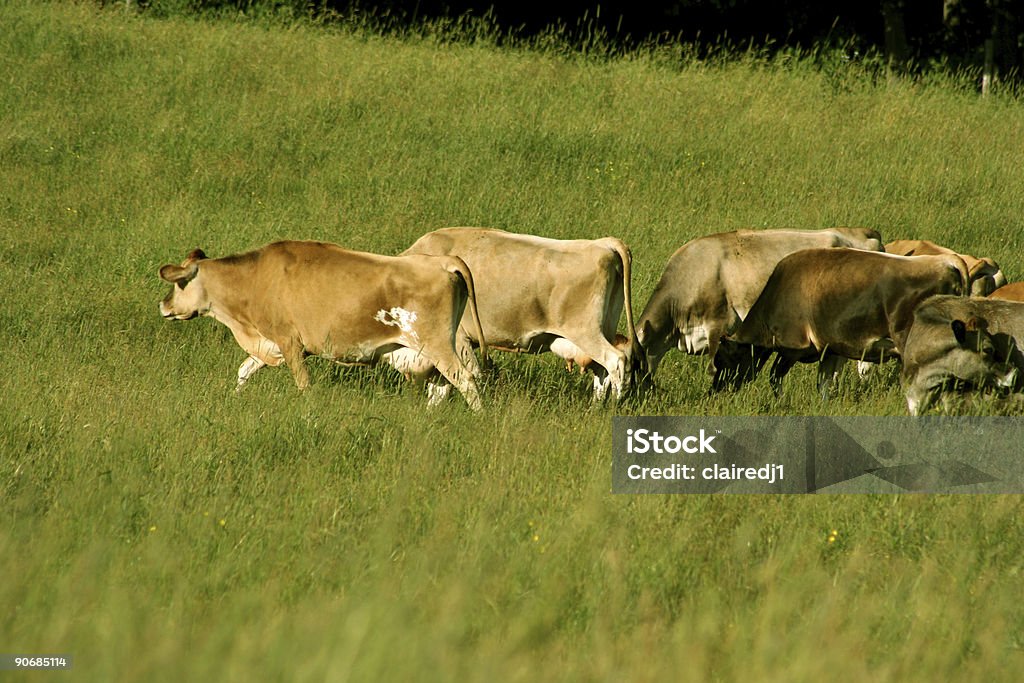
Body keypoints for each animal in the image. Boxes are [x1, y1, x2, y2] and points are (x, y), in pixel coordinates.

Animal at [157, 241, 489, 409]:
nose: (164, 305)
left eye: (179, 283)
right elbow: (244, 370)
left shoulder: (290, 342)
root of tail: (442, 261)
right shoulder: (268, 344)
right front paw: (235, 398)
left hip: (437, 344)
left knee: (465, 380)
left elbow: (304, 385)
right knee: (443, 387)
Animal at [399, 229, 638, 401]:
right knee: (603, 372)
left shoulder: (456, 339)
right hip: (604, 328)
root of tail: (602, 243)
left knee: (616, 361)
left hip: (586, 332)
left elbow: (464, 377)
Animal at [720, 246, 966, 395]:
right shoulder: (830, 349)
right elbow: (824, 385)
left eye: (725, 358)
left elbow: (775, 377)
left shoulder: (792, 348)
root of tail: (947, 260)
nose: (717, 389)